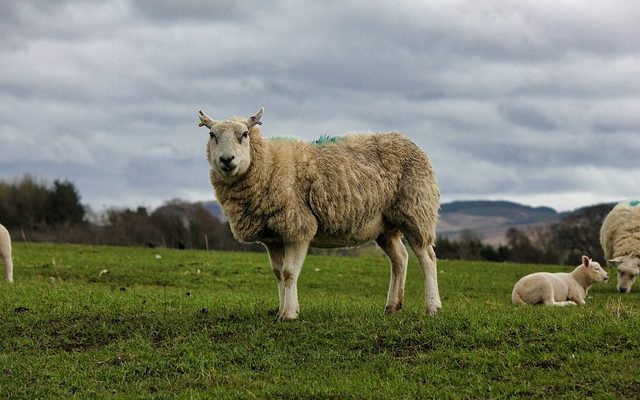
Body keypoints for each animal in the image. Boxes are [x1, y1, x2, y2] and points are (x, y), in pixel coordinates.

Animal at [198, 106, 442, 318]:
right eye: (212, 134)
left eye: (245, 134)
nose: (226, 159)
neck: (270, 163)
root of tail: (405, 139)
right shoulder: (273, 238)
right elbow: (278, 274)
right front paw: (281, 311)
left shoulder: (298, 228)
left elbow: (289, 272)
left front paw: (289, 314)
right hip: (384, 226)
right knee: (400, 259)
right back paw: (392, 307)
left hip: (416, 210)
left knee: (427, 258)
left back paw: (433, 308)